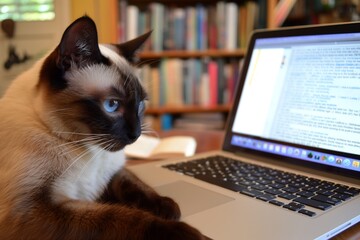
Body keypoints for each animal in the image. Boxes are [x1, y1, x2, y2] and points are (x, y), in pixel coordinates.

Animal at [0, 15, 207, 239]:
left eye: (140, 105)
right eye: (112, 105)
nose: (136, 135)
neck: (88, 152)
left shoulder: (113, 172)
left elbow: (135, 183)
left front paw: (167, 206)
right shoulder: (32, 210)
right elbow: (120, 218)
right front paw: (184, 231)